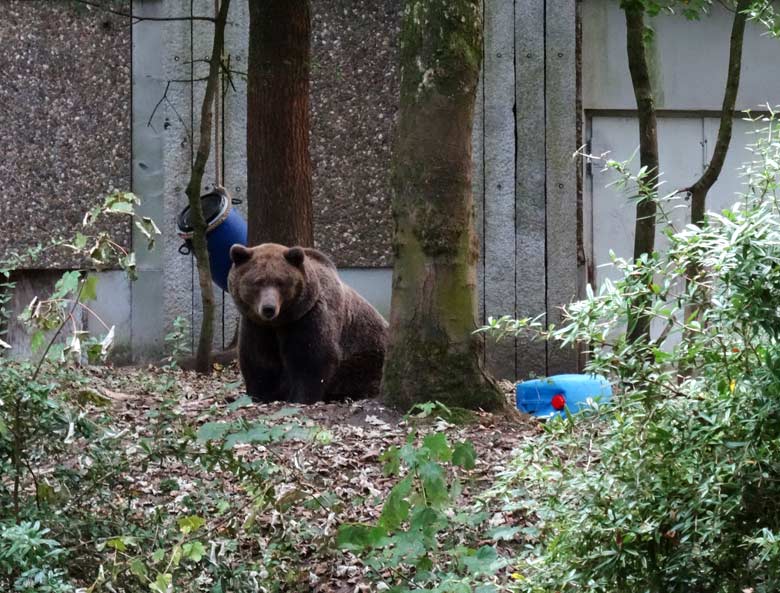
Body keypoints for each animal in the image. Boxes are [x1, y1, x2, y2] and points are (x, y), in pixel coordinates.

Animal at [227, 243, 388, 404]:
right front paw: (260, 395)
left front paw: (299, 398)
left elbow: (310, 360)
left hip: (367, 356)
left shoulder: (308, 318)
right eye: (257, 282)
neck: (281, 321)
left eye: (280, 282)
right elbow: (258, 360)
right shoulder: (257, 326)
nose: (268, 308)